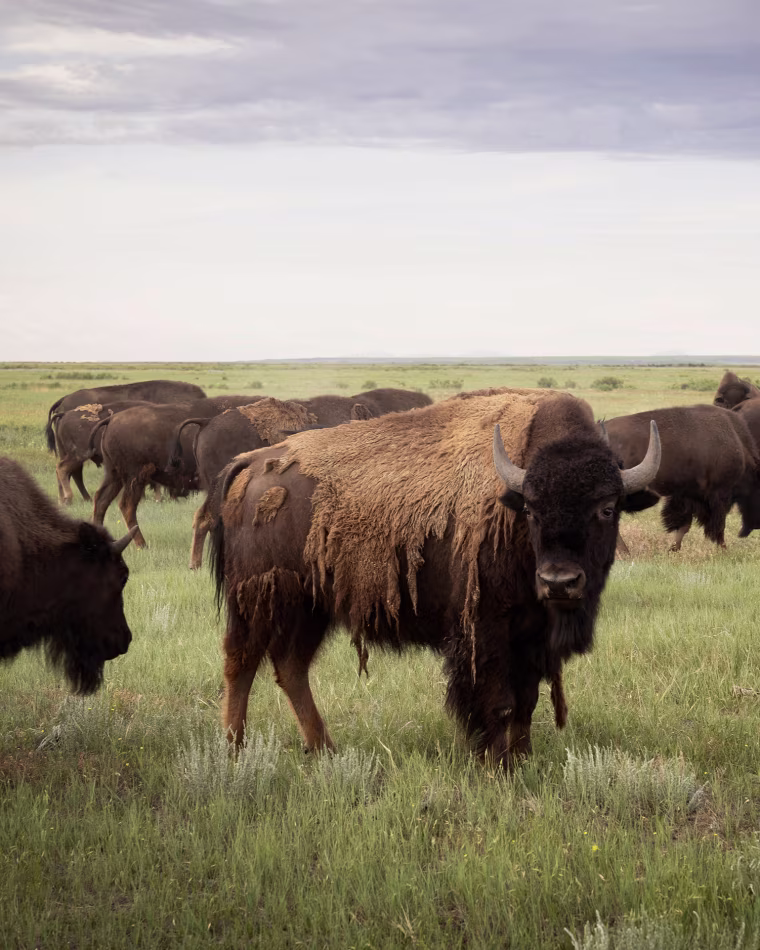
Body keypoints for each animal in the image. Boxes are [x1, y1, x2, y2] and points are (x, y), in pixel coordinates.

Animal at [211, 389, 660, 767]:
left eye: (607, 508)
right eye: (531, 510)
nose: (559, 582)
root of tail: (252, 462)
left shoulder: (531, 636)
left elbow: (527, 701)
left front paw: (522, 759)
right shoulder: (485, 632)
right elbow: (500, 702)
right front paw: (496, 765)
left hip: (311, 607)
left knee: (290, 667)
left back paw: (324, 750)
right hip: (261, 601)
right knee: (241, 663)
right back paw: (234, 751)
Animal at [606, 405, 760, 551]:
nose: (755, 526)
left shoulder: (686, 496)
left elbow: (684, 526)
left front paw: (673, 549)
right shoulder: (719, 496)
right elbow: (717, 526)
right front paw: (723, 548)